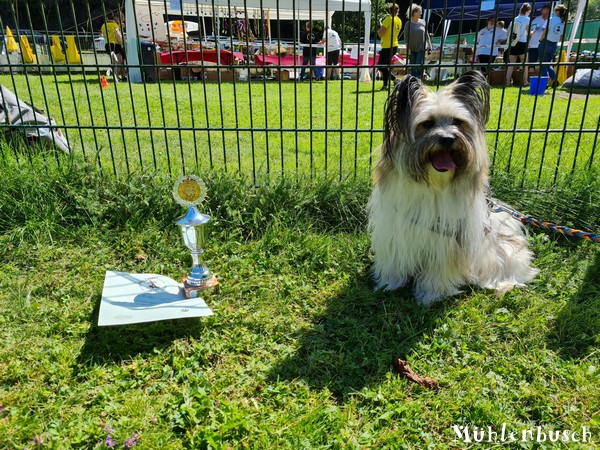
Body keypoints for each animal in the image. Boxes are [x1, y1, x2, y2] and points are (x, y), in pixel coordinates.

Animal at [366, 72, 540, 304]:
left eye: (458, 122)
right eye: (427, 124)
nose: (448, 139)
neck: (433, 185)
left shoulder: (448, 241)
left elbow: (440, 268)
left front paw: (431, 295)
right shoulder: (396, 229)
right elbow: (395, 260)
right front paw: (389, 283)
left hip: (501, 250)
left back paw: (501, 286)